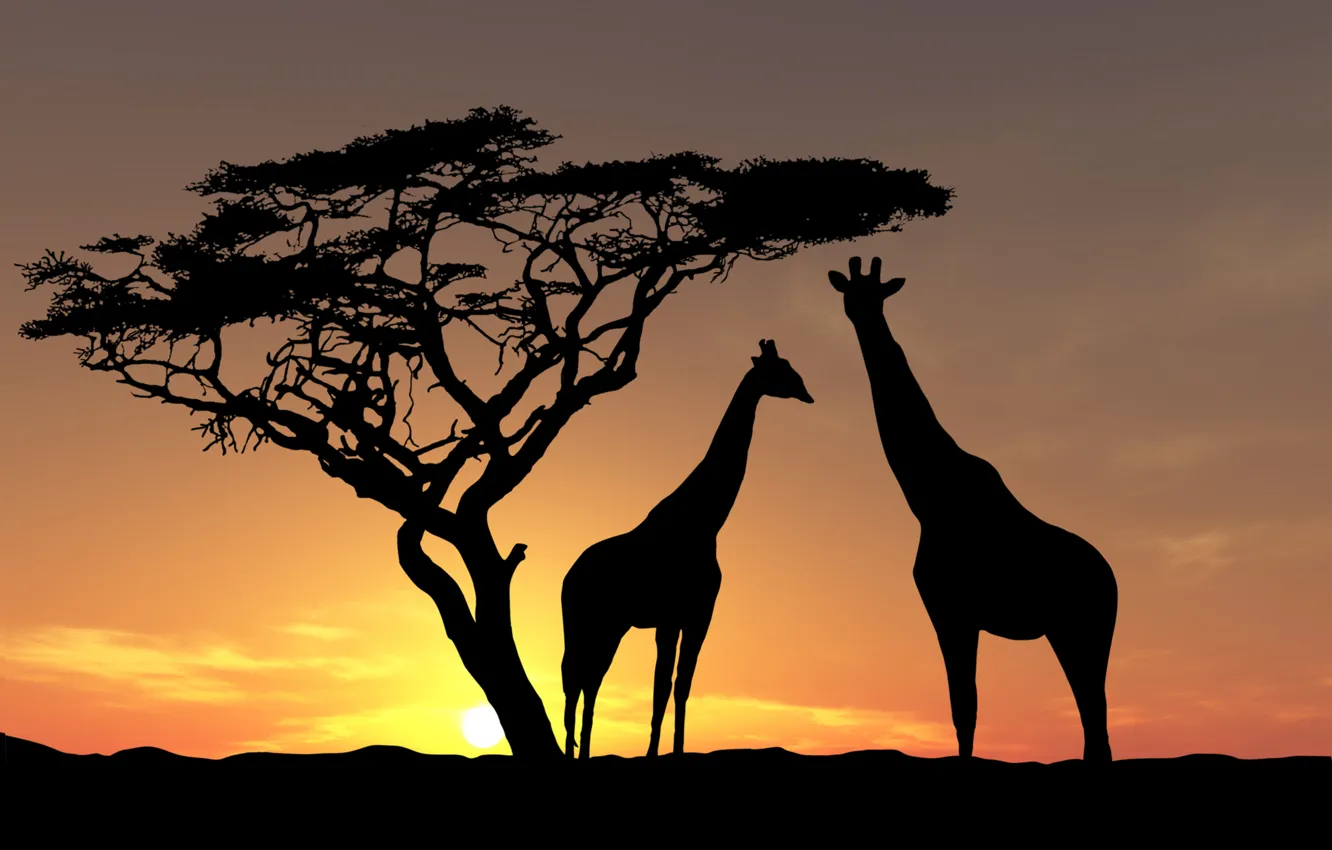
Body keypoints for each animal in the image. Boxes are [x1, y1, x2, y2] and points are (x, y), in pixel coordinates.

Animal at [560, 339, 815, 759]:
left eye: (792, 368)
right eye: (780, 370)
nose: (807, 393)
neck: (705, 521)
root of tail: (568, 576)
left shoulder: (698, 613)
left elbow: (682, 685)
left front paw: (676, 751)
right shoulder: (670, 616)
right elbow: (662, 685)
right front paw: (652, 754)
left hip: (611, 625)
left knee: (588, 677)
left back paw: (581, 750)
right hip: (588, 620)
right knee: (577, 675)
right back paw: (573, 751)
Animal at [828, 256, 1118, 762]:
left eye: (877, 294)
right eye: (851, 293)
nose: (862, 316)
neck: (928, 497)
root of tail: (1114, 583)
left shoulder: (952, 609)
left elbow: (964, 708)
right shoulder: (952, 612)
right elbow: (964, 709)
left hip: (1083, 630)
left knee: (1094, 721)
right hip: (1073, 633)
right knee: (1094, 724)